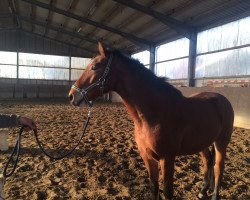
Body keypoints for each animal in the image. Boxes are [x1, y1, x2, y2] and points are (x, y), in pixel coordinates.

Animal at [68, 43, 234, 200]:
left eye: (94, 67)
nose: (72, 95)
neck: (154, 114)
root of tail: (223, 99)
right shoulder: (147, 156)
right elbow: (154, 188)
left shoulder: (167, 158)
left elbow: (167, 192)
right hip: (202, 143)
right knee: (208, 160)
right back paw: (202, 191)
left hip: (221, 142)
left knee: (219, 167)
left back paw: (214, 195)